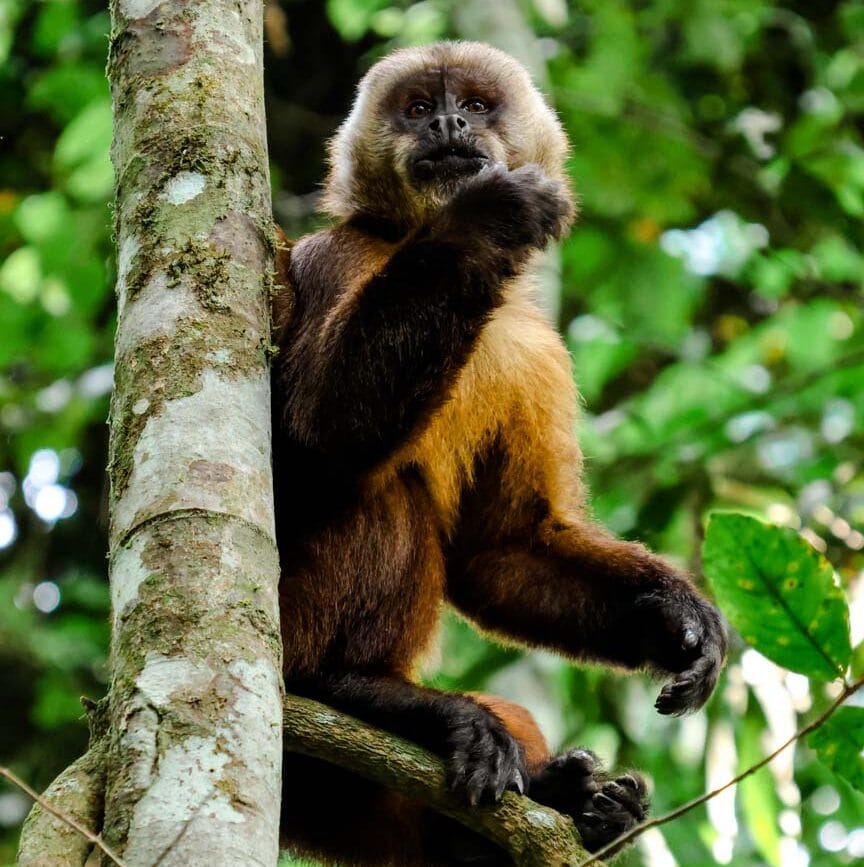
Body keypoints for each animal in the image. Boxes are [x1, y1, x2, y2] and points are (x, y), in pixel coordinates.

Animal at [271, 41, 727, 866]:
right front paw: (487, 217)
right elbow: (317, 440)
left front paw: (673, 617)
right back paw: (343, 684)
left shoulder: (538, 349)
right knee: (385, 484)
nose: (449, 123)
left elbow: (502, 549)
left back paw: (576, 803)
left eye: (477, 106)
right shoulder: (335, 256)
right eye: (419, 109)